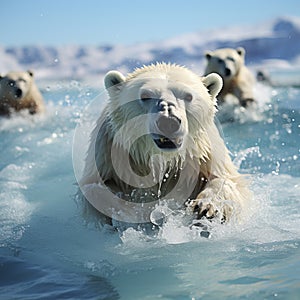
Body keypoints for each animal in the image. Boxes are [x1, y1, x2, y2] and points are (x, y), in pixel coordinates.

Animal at [79, 63, 251, 226]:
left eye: (188, 96)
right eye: (145, 96)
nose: (168, 122)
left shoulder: (205, 152)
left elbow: (229, 181)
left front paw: (207, 207)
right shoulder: (108, 149)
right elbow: (94, 188)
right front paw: (130, 211)